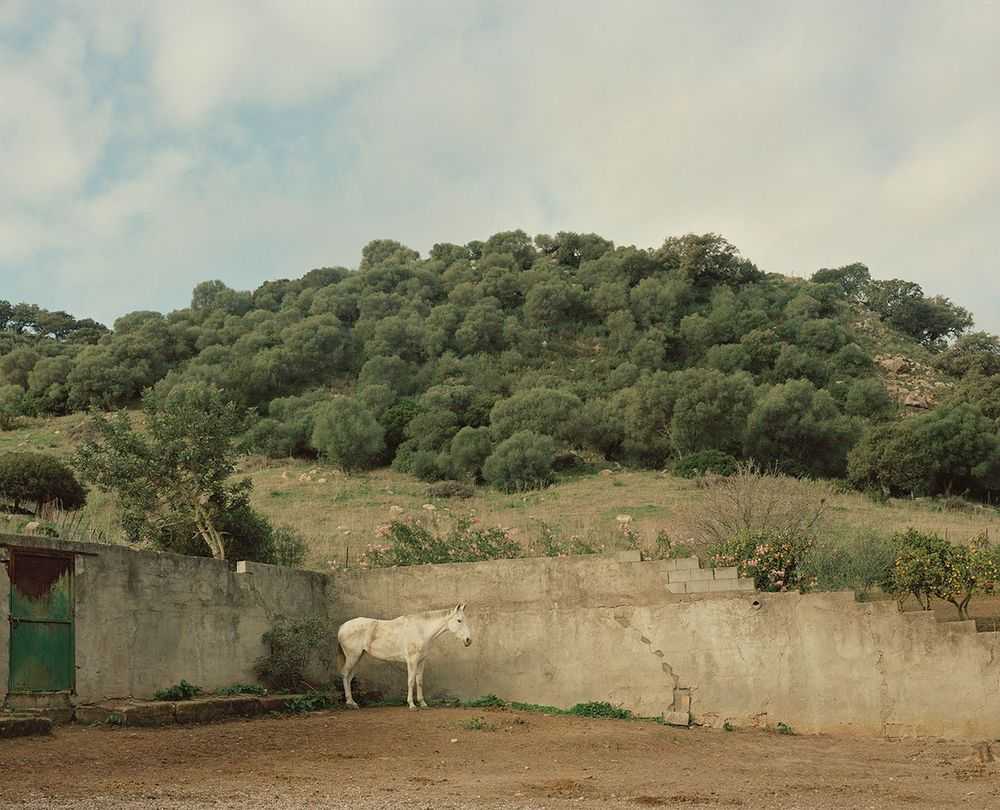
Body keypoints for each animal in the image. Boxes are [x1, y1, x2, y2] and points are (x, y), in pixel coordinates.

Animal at [336, 603, 472, 710]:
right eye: (459, 620)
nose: (468, 640)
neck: (421, 630)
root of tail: (342, 627)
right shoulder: (412, 661)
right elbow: (411, 681)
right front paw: (411, 704)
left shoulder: (421, 661)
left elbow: (419, 681)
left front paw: (423, 703)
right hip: (352, 657)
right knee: (345, 674)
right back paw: (350, 703)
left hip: (358, 657)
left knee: (349, 677)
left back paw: (352, 702)